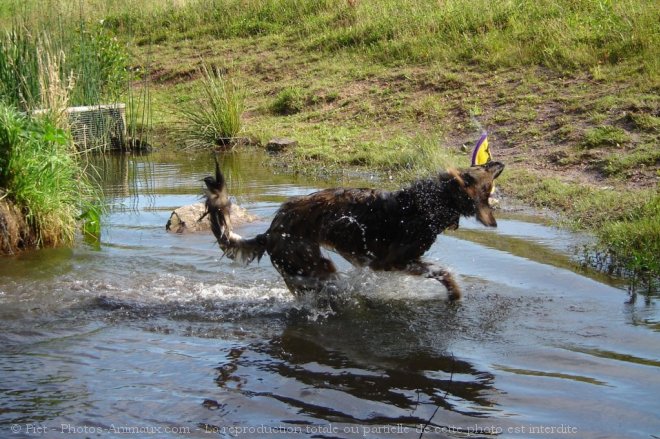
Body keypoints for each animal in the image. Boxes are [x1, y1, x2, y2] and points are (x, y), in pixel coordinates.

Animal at [199, 160, 502, 300]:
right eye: (484, 171)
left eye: (481, 164)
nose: (500, 163)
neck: (431, 203)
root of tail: (270, 233)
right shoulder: (390, 262)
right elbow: (443, 273)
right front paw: (455, 294)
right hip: (315, 266)